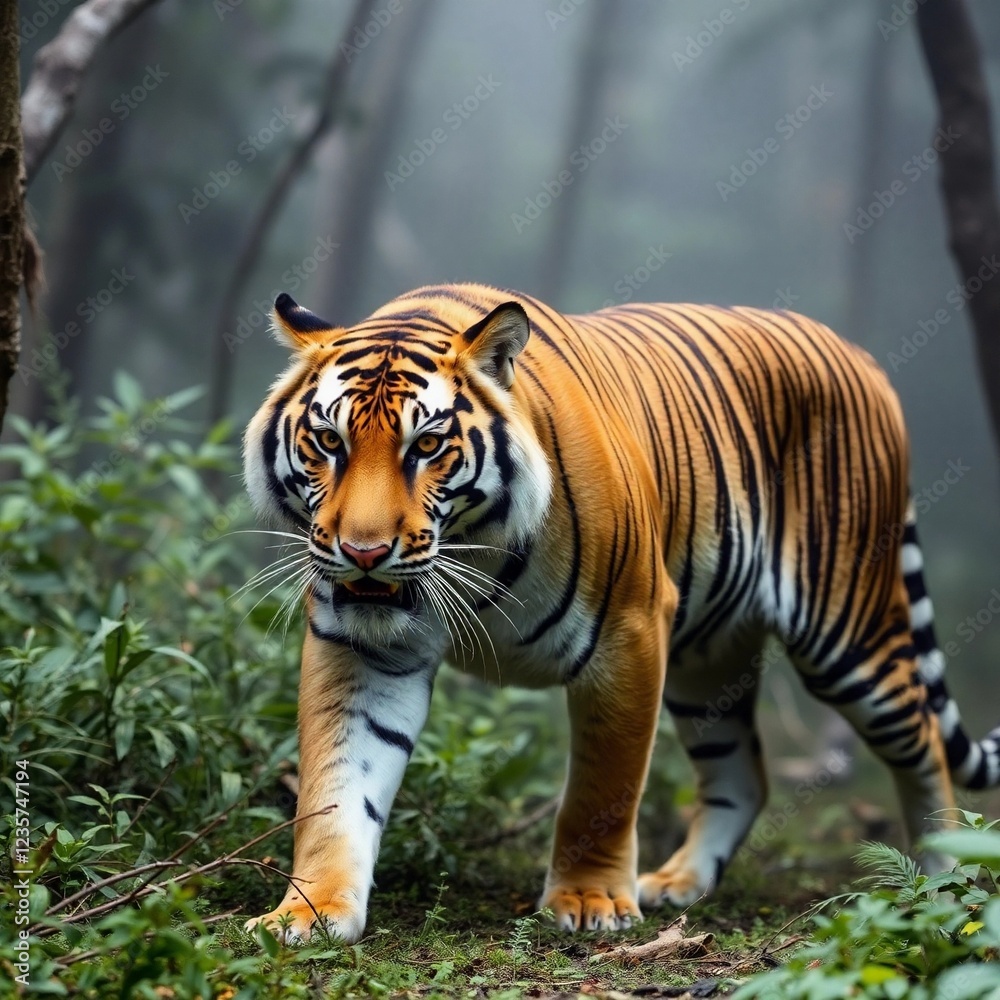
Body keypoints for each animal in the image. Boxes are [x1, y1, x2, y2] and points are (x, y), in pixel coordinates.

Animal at [242, 282, 1000, 942]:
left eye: (426, 446)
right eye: (330, 443)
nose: (364, 552)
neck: (472, 550)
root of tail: (860, 355)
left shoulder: (628, 632)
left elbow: (603, 789)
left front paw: (589, 902)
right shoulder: (361, 648)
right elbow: (336, 787)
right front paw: (308, 913)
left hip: (849, 633)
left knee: (923, 739)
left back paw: (941, 881)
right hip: (706, 663)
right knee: (743, 775)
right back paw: (678, 884)